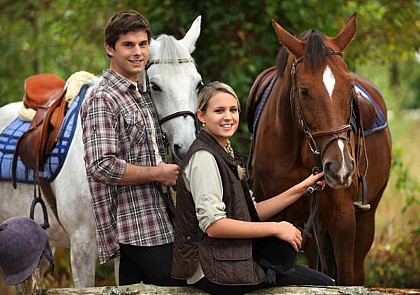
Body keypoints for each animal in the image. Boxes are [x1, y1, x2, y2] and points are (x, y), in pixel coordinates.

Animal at [248, 13, 392, 286]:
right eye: (304, 91)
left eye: (349, 87)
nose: (341, 168)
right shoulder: (274, 217)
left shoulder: (343, 220)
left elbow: (345, 278)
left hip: (365, 219)